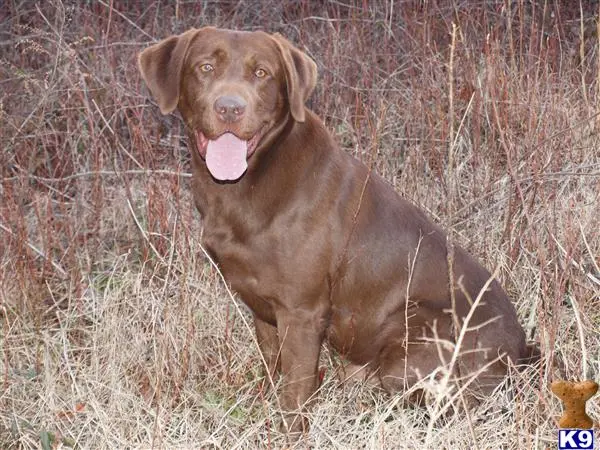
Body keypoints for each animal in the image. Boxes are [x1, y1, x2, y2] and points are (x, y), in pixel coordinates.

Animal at [141, 27, 536, 432]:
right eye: (205, 67)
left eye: (262, 73)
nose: (230, 107)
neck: (246, 181)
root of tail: (521, 351)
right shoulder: (262, 307)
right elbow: (273, 364)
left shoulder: (301, 311)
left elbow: (295, 390)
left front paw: (289, 433)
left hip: (410, 341)